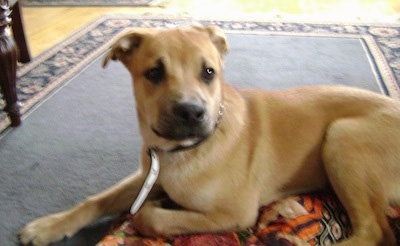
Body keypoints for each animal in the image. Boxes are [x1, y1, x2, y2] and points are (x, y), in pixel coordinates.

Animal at [21, 26, 400, 245]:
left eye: (208, 72)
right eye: (154, 73)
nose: (191, 112)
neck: (179, 152)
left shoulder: (236, 213)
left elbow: (148, 216)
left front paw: (161, 207)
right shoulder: (146, 175)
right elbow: (95, 201)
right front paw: (48, 226)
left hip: (342, 136)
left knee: (375, 232)